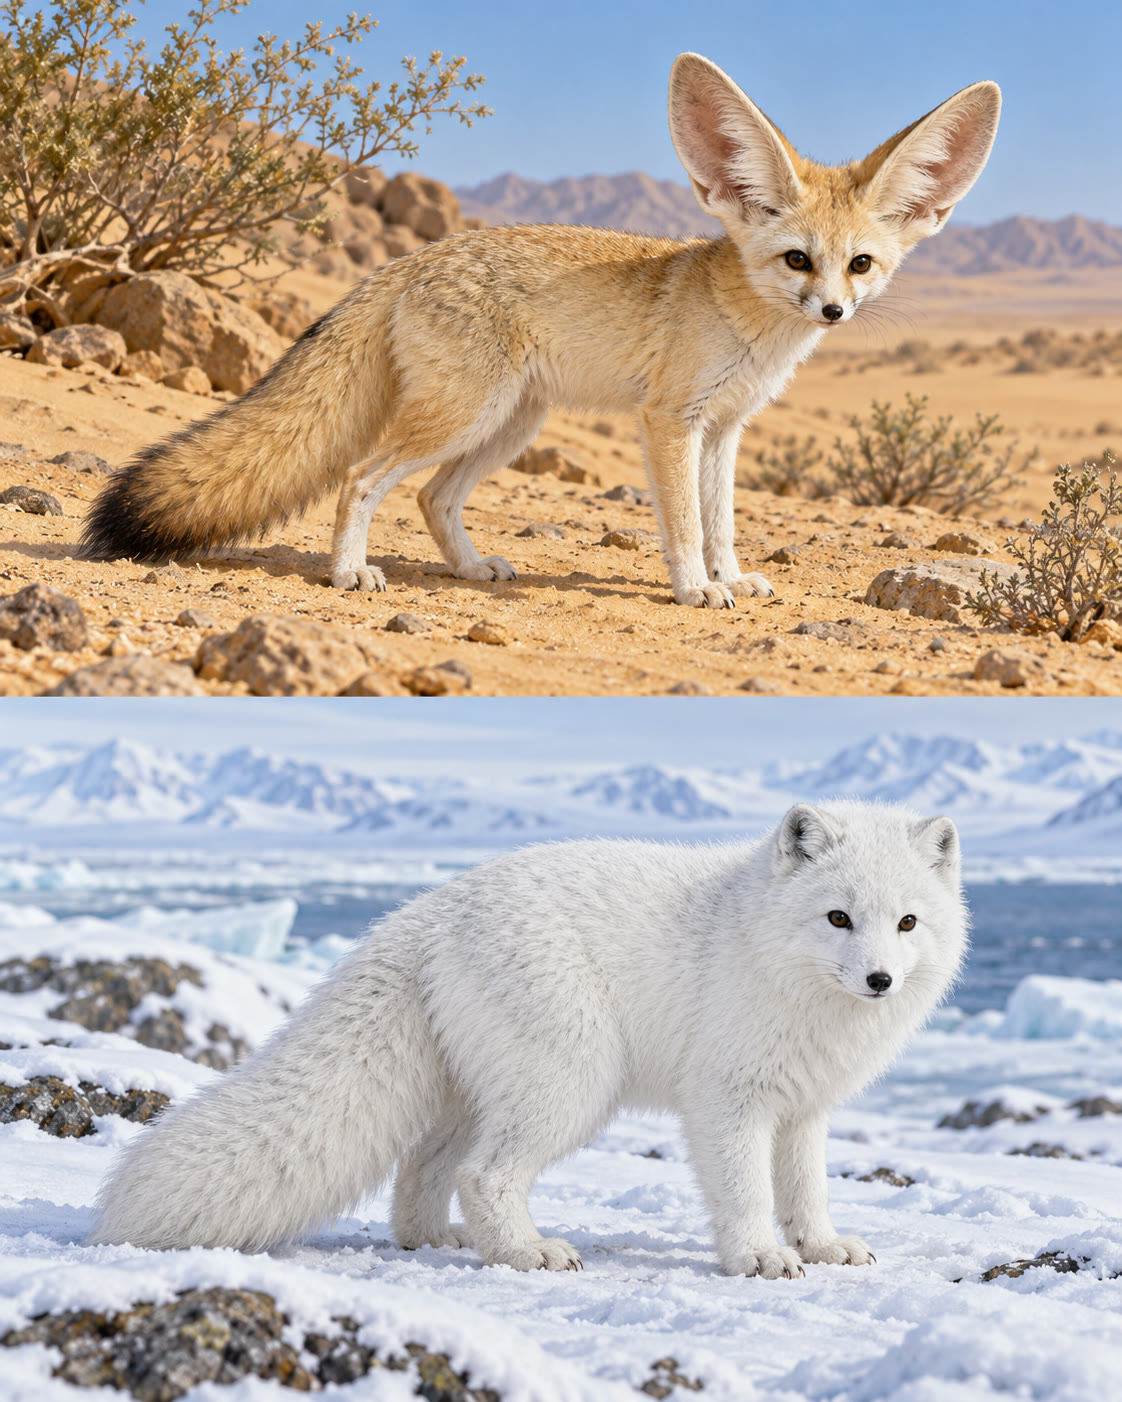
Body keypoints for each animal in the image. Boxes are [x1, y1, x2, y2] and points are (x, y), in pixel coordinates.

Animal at [80, 56, 1000, 609]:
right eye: (798, 259)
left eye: (861, 265)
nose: (833, 312)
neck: (749, 321)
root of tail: (410, 259)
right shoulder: (670, 421)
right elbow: (683, 525)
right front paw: (695, 589)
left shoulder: (725, 428)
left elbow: (723, 521)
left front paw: (733, 578)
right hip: (465, 417)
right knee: (361, 477)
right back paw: (349, 573)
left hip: (508, 425)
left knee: (429, 495)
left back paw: (470, 570)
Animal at [89, 801, 968, 1279]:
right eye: (838, 917)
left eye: (907, 923)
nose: (880, 980)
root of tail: (428, 911)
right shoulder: (729, 1100)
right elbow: (748, 1192)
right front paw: (758, 1258)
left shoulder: (805, 1108)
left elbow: (806, 1190)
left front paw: (820, 1247)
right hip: (572, 1080)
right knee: (483, 1175)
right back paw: (527, 1253)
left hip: (481, 1087)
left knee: (426, 1165)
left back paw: (434, 1240)